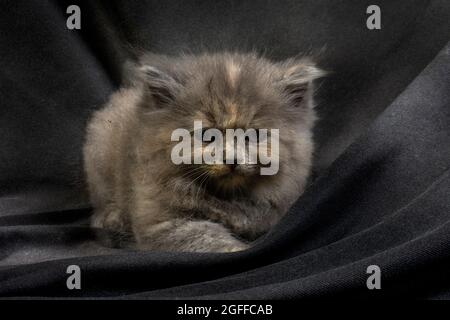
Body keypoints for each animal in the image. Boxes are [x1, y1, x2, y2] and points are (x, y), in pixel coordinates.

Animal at [83, 52, 324, 252]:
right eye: (207, 135)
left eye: (253, 136)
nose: (231, 159)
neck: (227, 199)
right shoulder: (160, 221)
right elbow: (210, 239)